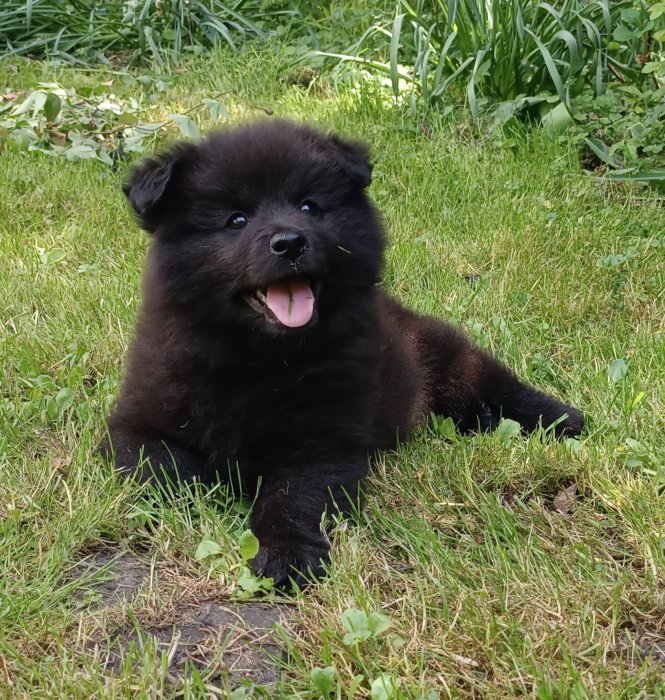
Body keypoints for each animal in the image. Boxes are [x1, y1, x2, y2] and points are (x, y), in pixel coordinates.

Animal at [104, 120, 584, 585]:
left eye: (309, 207)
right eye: (235, 219)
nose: (290, 242)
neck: (258, 357)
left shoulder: (321, 441)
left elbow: (294, 498)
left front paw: (287, 553)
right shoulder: (136, 426)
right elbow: (169, 471)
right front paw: (212, 495)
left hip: (450, 359)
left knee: (498, 384)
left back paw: (562, 418)